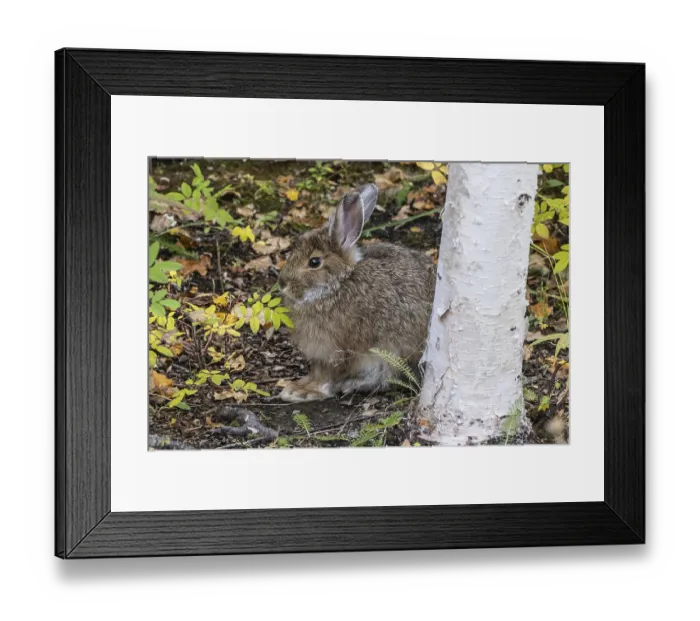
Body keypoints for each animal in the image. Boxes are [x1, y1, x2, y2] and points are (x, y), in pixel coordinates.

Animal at [277, 183, 436, 403]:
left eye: (314, 262)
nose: (282, 283)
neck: (337, 285)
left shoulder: (337, 352)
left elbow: (327, 376)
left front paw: (304, 391)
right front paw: (299, 385)